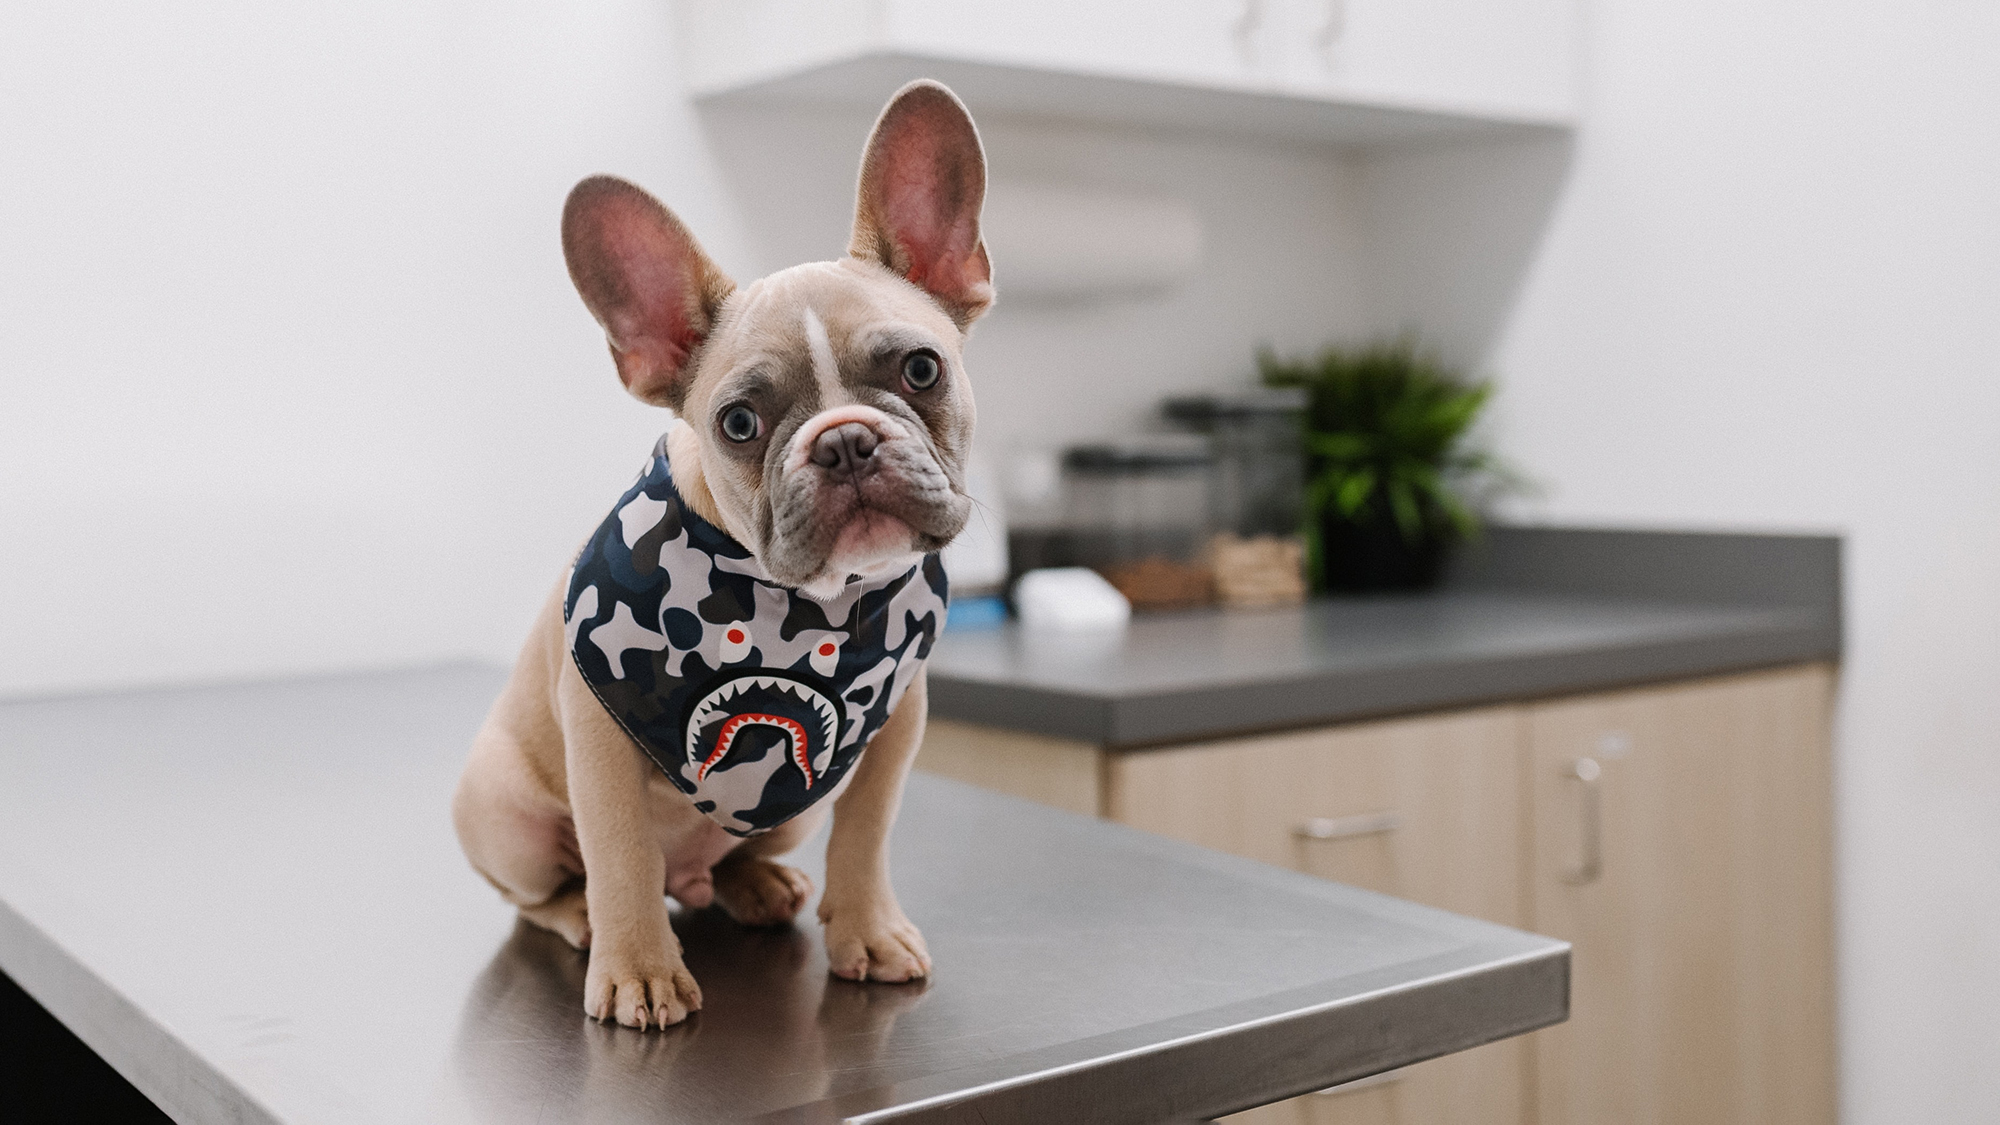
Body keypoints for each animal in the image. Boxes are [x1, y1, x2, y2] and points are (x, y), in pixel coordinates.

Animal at [450, 79, 988, 1024]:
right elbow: (621, 854)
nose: (845, 441)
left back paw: (757, 884)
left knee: (740, 855)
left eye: (922, 370)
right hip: (503, 811)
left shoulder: (894, 730)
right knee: (544, 889)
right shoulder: (600, 737)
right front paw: (638, 971)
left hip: (791, 809)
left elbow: (867, 832)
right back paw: (582, 918)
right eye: (739, 422)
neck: (812, 608)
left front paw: (870, 931)